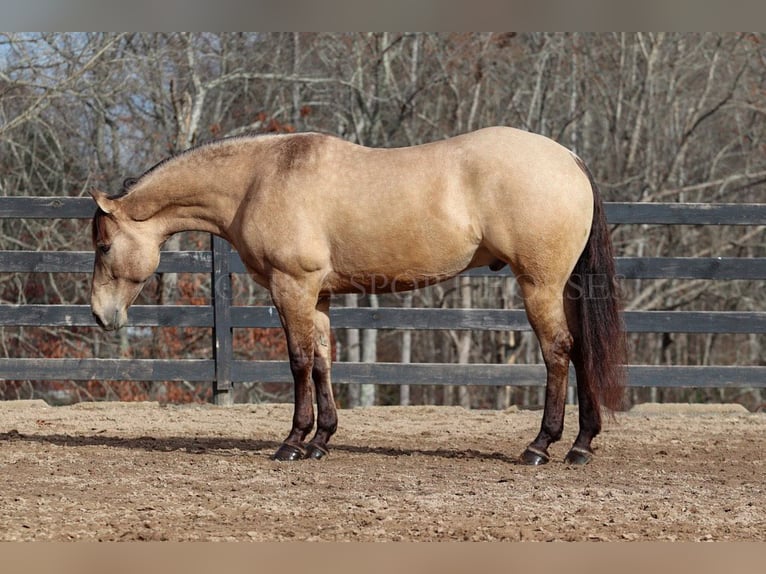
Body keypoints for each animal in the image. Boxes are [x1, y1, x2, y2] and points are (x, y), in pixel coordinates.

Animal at [91, 127, 632, 468]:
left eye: (102, 245)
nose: (101, 315)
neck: (258, 179)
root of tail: (568, 159)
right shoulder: (319, 296)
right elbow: (323, 362)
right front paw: (321, 440)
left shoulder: (292, 287)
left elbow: (298, 363)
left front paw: (292, 442)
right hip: (564, 288)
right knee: (581, 351)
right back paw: (581, 445)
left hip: (539, 285)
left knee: (557, 353)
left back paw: (540, 446)